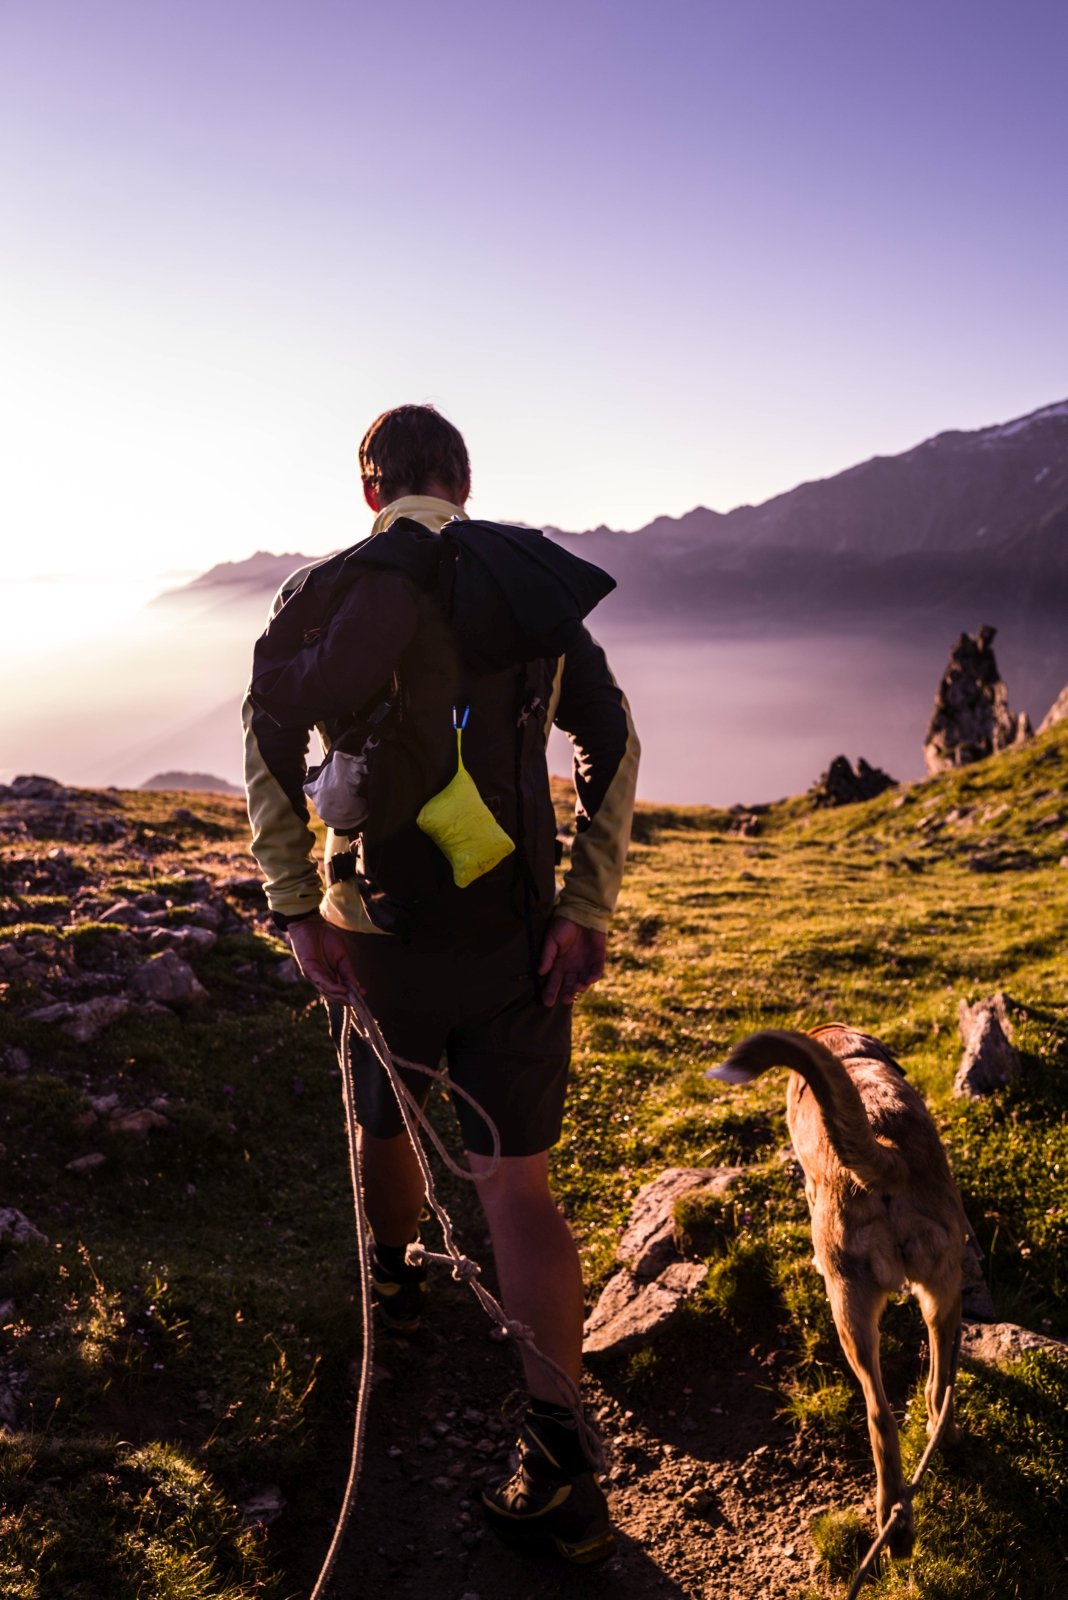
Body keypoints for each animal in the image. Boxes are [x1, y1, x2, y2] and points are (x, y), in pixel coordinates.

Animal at [709, 1017, 965, 1555]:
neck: (846, 1055)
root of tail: (888, 1155)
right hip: (943, 1291)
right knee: (937, 1383)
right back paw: (943, 1436)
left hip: (847, 1305)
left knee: (879, 1417)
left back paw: (894, 1524)